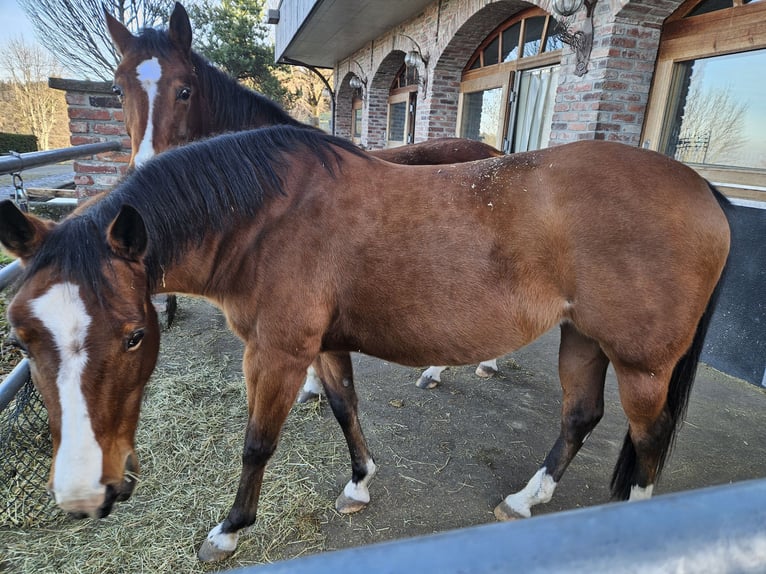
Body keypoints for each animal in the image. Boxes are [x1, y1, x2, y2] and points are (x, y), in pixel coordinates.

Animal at [0, 126, 730, 562]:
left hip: (642, 363)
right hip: (583, 338)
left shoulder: (277, 352)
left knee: (649, 437)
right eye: (21, 335)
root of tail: (703, 189)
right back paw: (527, 499)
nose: (83, 494)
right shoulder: (322, 346)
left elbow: (257, 443)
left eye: (133, 335)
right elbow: (346, 408)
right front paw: (360, 483)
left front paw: (228, 531)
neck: (266, 217)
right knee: (581, 417)